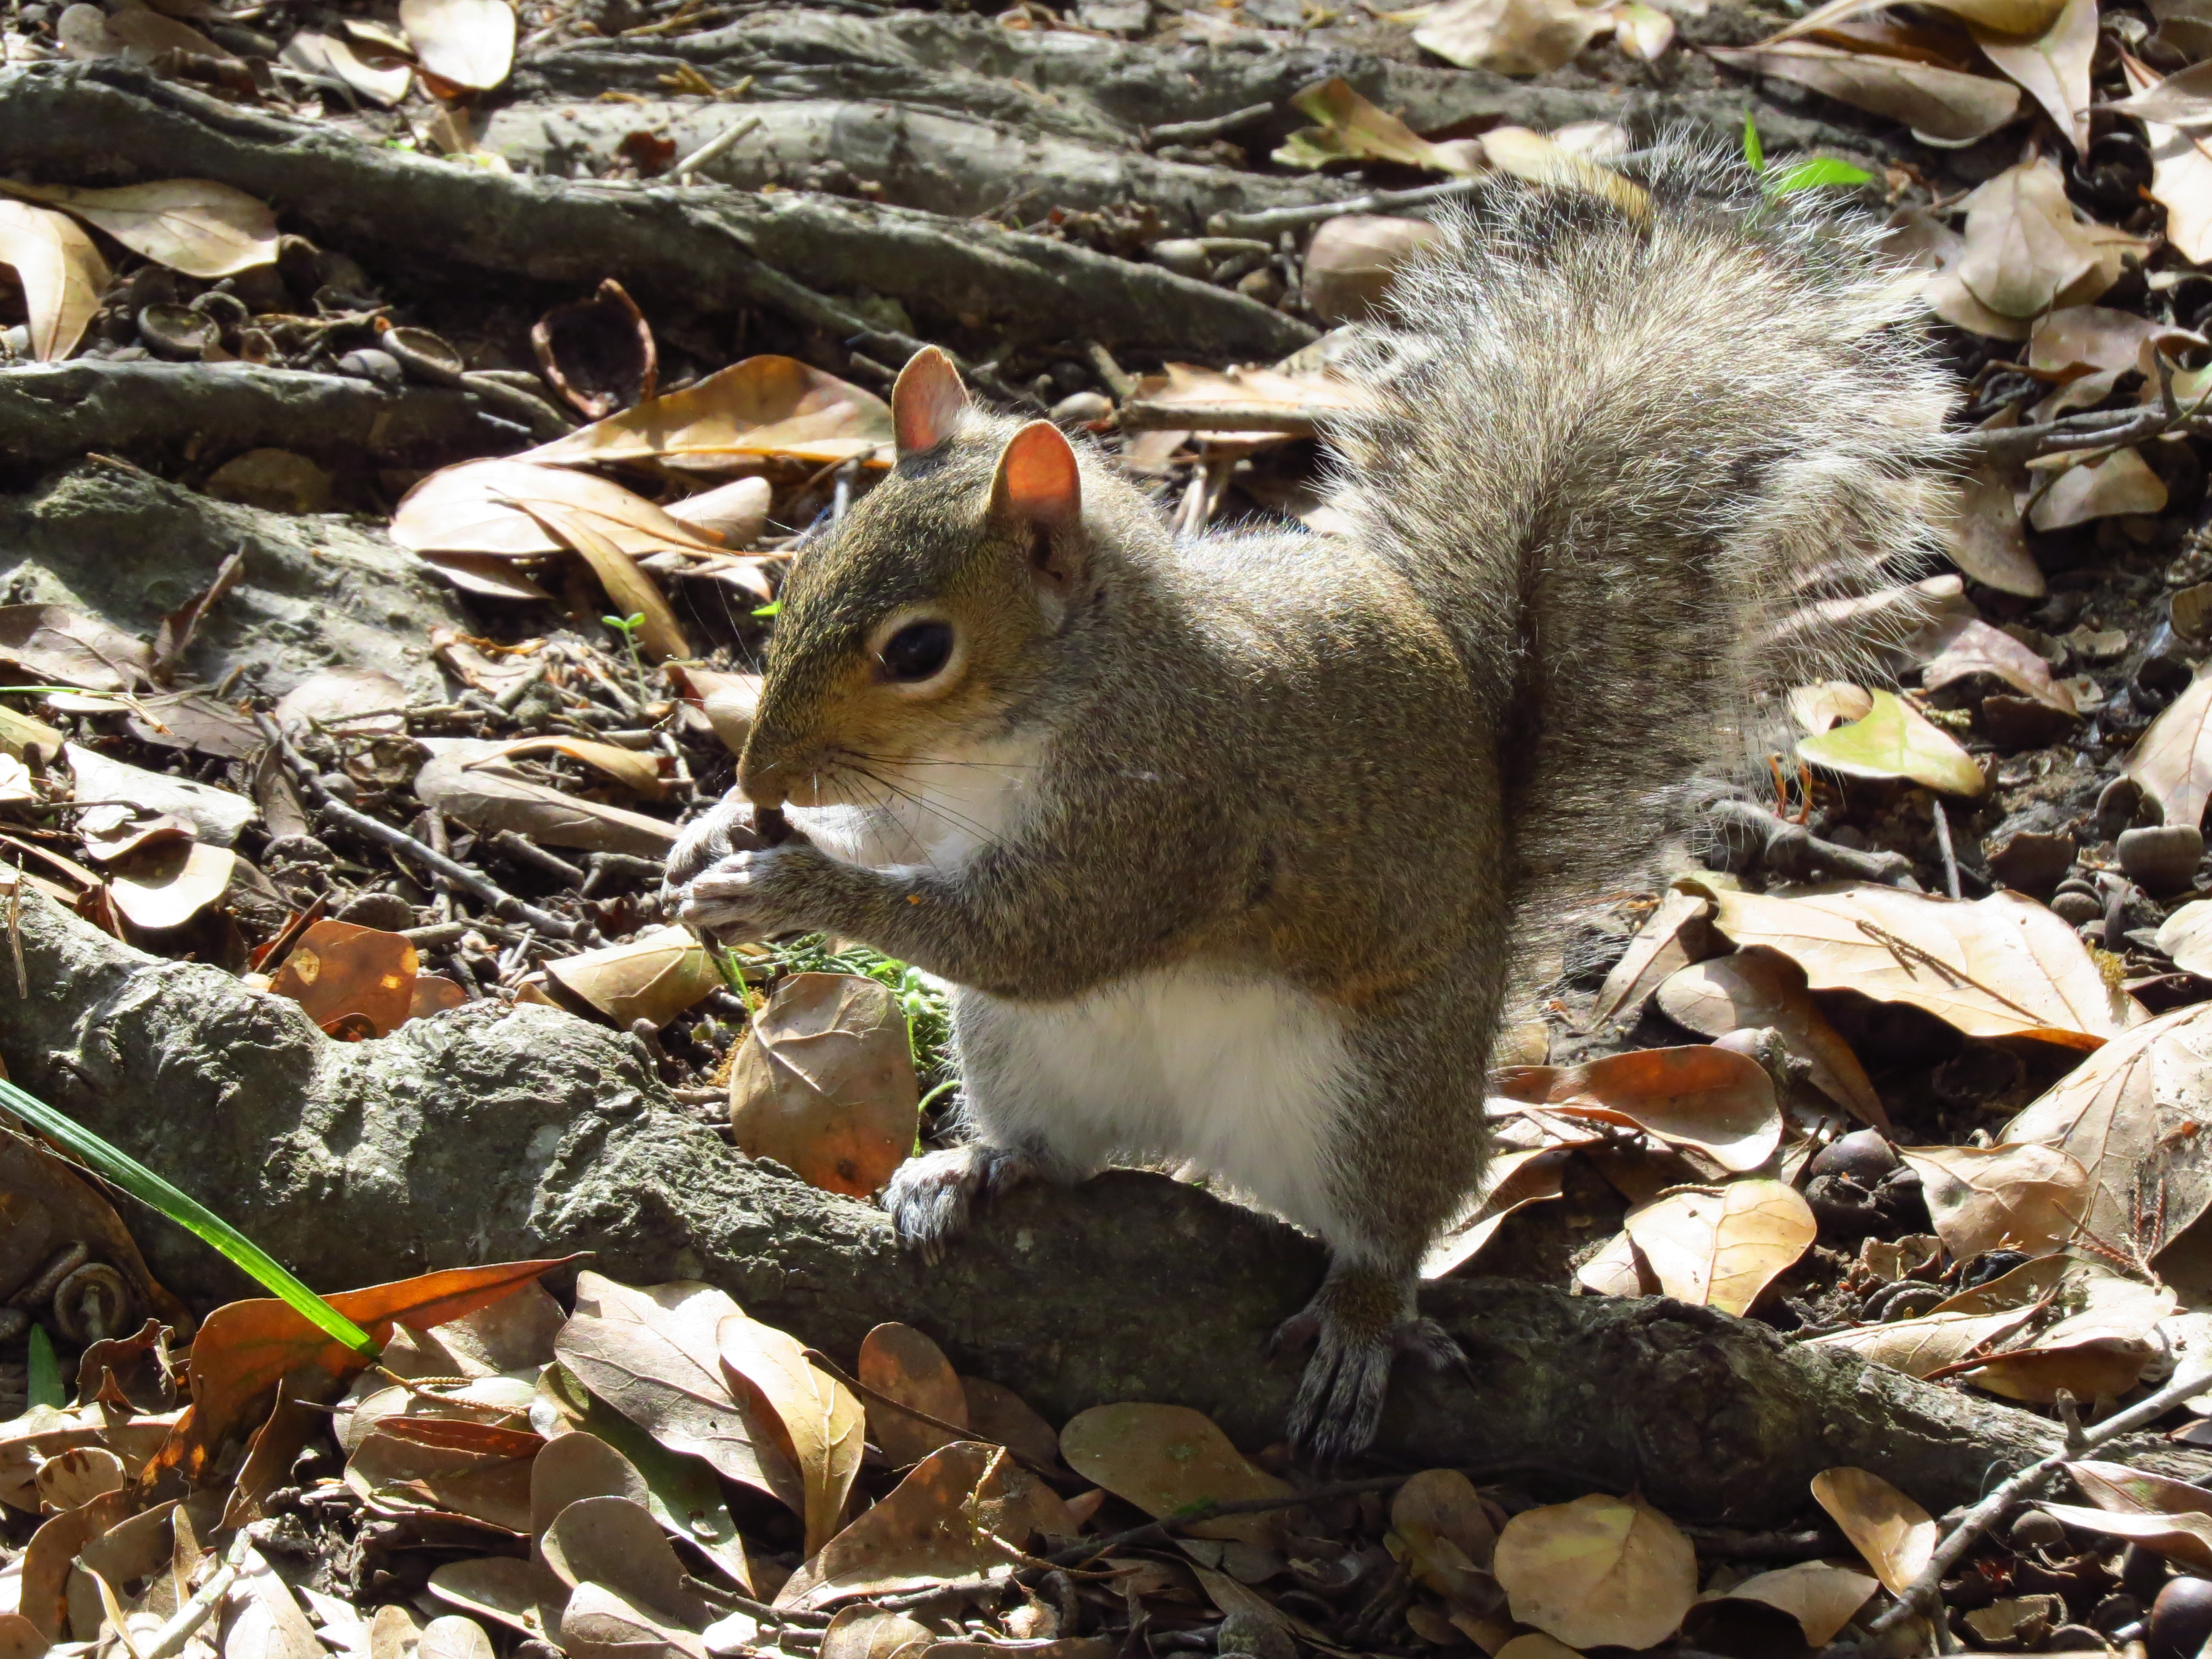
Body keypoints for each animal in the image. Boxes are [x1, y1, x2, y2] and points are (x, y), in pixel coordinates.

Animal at [663, 134, 1959, 1459]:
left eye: (918, 650)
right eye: (805, 561)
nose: (762, 776)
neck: (1042, 713)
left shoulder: (1168, 813)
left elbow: (1039, 935)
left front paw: (794, 882)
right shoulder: (931, 809)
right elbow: (901, 845)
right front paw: (713, 834)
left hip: (1376, 1097)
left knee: (1389, 1227)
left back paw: (1358, 1321)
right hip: (1026, 1058)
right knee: (1060, 1155)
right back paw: (978, 1168)